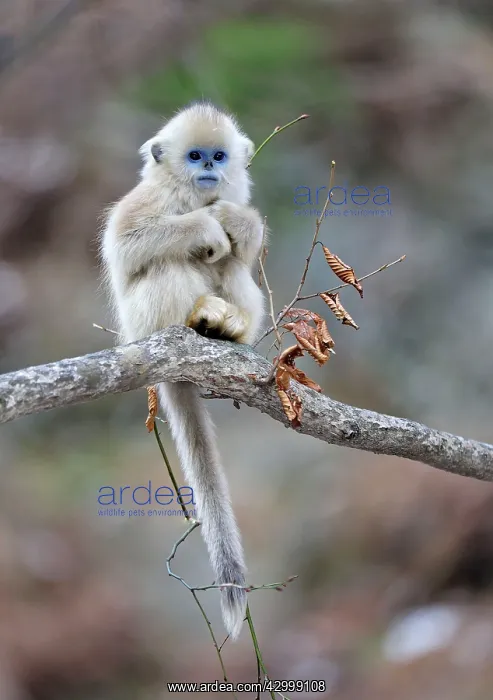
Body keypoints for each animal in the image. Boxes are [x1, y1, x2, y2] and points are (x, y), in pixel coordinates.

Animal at [100, 101, 265, 639]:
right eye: (194, 156)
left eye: (218, 155)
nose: (209, 166)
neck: (195, 194)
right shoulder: (154, 196)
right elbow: (127, 243)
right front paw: (206, 227)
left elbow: (244, 241)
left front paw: (235, 220)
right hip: (145, 321)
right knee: (166, 262)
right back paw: (197, 318)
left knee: (233, 266)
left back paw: (227, 327)